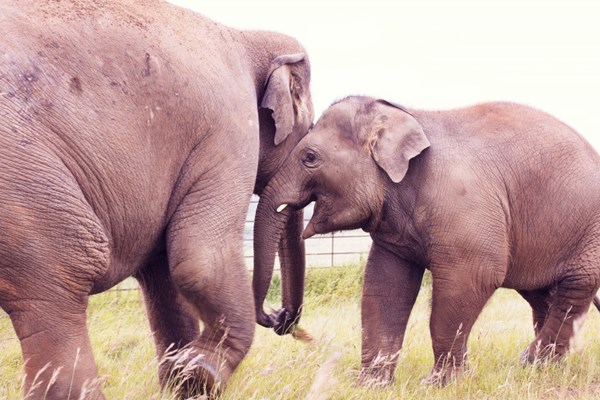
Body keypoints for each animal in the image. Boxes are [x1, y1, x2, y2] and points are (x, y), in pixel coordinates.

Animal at [1, 1, 314, 398]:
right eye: (308, 142)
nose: (278, 318)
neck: (246, 35)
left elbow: (164, 272)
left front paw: (183, 383)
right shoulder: (229, 131)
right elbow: (200, 259)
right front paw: (201, 374)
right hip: (23, 178)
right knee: (60, 278)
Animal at [253, 96, 600, 384]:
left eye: (309, 157)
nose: (277, 317)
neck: (407, 116)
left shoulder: (464, 206)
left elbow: (475, 277)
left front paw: (440, 385)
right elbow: (384, 286)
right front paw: (371, 385)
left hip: (589, 231)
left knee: (573, 289)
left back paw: (534, 363)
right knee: (540, 292)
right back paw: (537, 366)